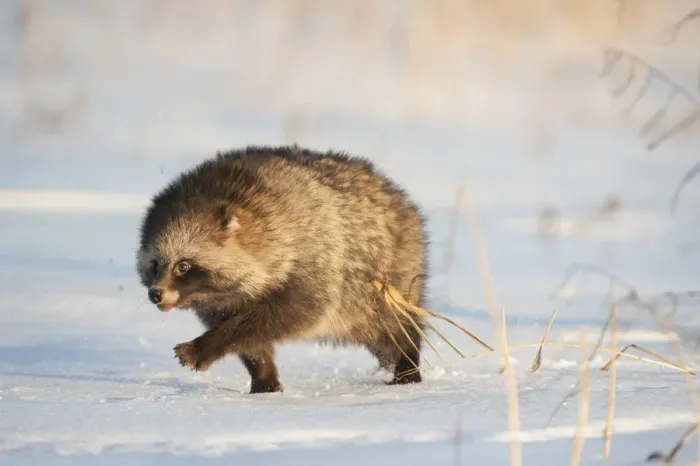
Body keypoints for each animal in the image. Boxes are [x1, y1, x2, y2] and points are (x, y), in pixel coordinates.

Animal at [135, 145, 428, 394]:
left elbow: (285, 315)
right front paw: (264, 378)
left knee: (393, 326)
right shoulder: (219, 302)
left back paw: (406, 364)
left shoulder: (315, 257)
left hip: (387, 278)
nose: (155, 294)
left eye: (183, 265)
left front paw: (208, 345)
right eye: (155, 265)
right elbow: (252, 342)